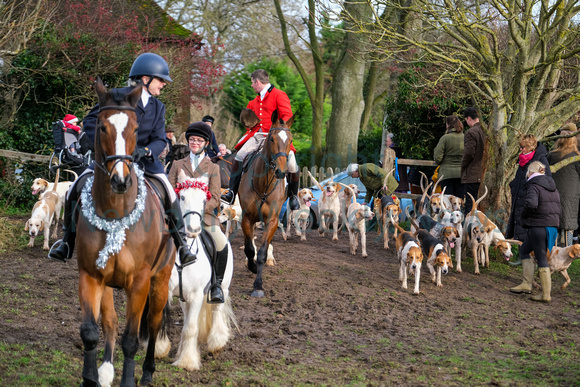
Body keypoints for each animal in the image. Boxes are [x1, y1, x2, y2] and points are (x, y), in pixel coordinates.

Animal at [73, 76, 172, 387]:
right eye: (102, 126)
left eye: (137, 129)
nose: (120, 181)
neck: (115, 214)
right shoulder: (91, 276)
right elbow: (91, 331)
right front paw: (91, 378)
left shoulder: (139, 282)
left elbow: (131, 340)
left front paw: (129, 380)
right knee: (110, 322)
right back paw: (106, 369)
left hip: (160, 280)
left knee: (153, 323)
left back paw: (148, 372)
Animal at [156, 171, 236, 372]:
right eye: (182, 197)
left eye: (203, 200)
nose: (193, 230)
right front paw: (159, 348)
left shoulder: (197, 295)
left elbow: (191, 328)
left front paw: (187, 361)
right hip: (184, 298)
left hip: (223, 287)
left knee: (217, 310)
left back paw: (217, 343)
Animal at [237, 112, 292, 298]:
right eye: (272, 139)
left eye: (290, 140)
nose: (281, 172)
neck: (264, 184)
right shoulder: (247, 218)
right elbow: (249, 249)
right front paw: (252, 266)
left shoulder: (272, 221)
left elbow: (261, 252)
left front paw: (258, 286)